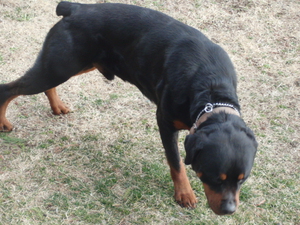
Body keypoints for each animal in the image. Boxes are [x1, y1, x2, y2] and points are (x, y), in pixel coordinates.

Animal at [0, 1, 258, 214]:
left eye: (242, 179)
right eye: (215, 178)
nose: (229, 210)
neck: (211, 92)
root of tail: (75, 7)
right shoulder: (165, 122)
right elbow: (176, 163)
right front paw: (185, 194)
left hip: (76, 64)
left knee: (46, 85)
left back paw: (57, 106)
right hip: (61, 65)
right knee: (8, 89)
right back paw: (4, 123)